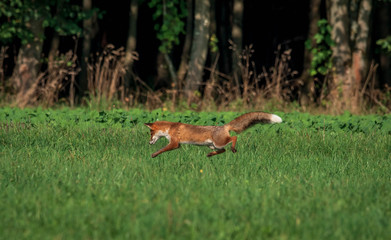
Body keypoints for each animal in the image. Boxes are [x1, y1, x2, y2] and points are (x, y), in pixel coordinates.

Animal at [144, 112, 282, 158]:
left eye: (150, 133)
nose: (149, 142)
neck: (170, 128)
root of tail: (223, 126)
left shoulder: (174, 143)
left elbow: (162, 149)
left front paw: (154, 155)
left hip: (219, 142)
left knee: (234, 138)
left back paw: (233, 148)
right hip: (213, 145)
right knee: (223, 150)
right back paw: (211, 155)